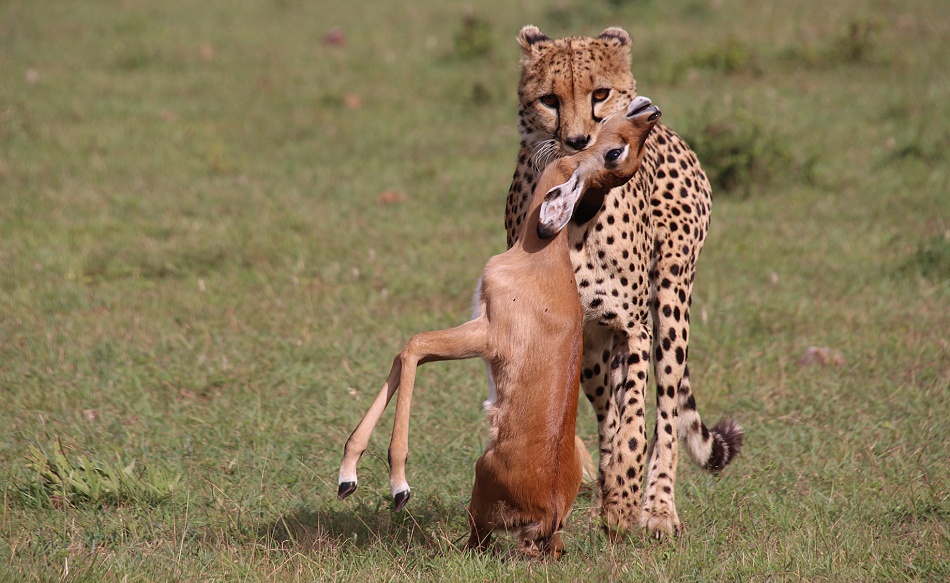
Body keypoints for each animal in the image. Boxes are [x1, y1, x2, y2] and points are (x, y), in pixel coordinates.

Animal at [338, 96, 661, 557]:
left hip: (480, 493)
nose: (649, 110)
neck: (540, 255)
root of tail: (548, 516)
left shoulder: (486, 334)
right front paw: (348, 476)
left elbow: (413, 346)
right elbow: (407, 353)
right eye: (619, 153)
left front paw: (394, 484)